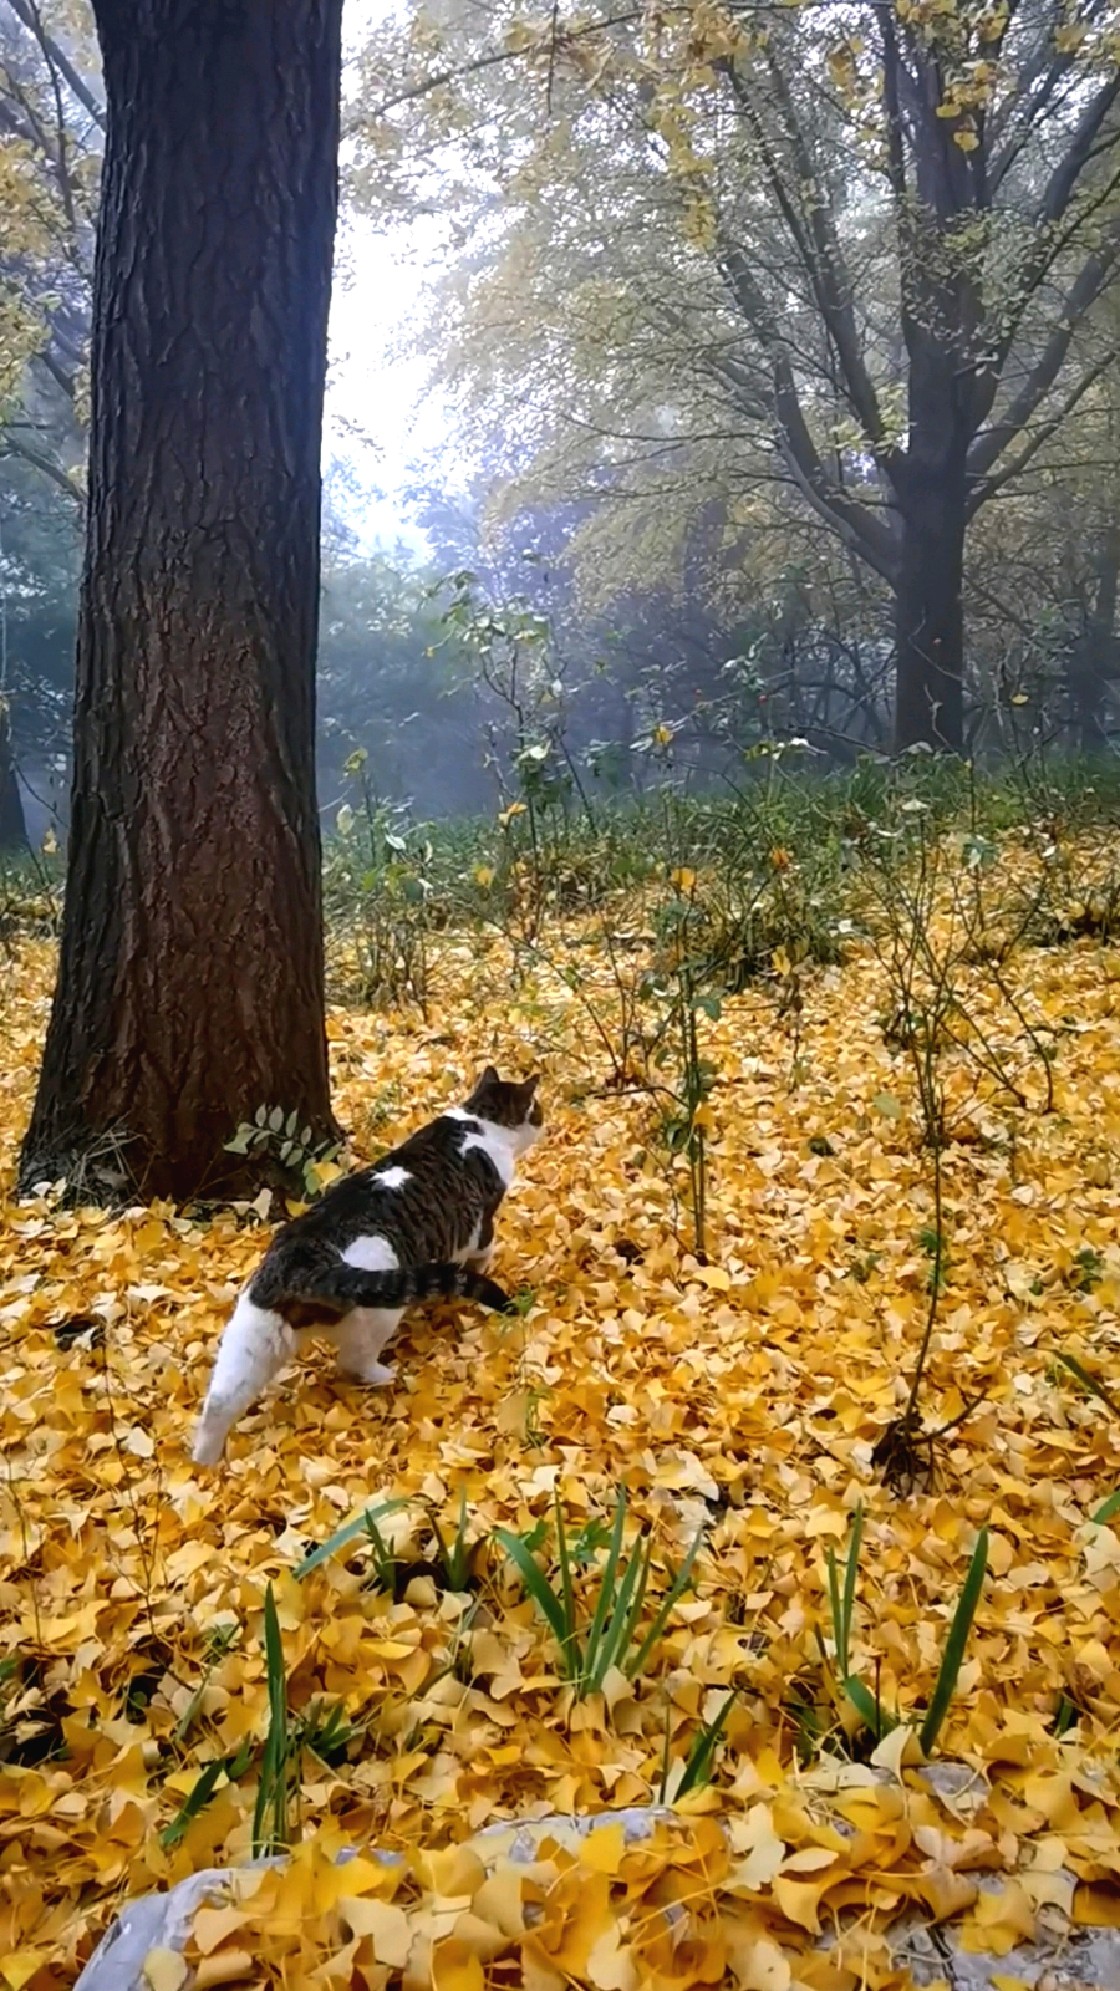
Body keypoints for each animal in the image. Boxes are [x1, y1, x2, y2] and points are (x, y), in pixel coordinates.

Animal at [192, 1067, 545, 1473]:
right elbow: (482, 1252)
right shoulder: (481, 1223)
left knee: (220, 1401)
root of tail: (303, 1264)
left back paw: (204, 1464)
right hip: (380, 1303)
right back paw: (385, 1376)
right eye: (537, 1110)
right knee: (352, 1361)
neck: (478, 1121)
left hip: (254, 1335)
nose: (544, 1121)